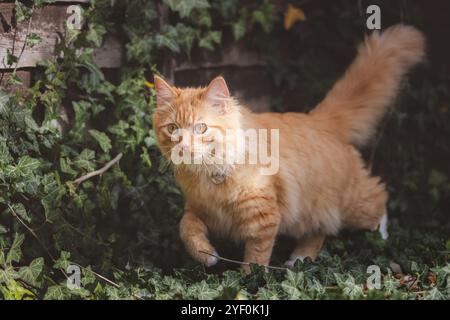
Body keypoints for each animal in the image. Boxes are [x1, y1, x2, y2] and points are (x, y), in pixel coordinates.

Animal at [153, 25, 424, 272]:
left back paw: (381, 240)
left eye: (201, 128)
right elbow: (186, 229)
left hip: (349, 203)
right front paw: (207, 255)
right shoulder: (197, 209)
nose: (183, 146)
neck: (208, 175)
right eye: (173, 128)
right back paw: (300, 259)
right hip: (313, 209)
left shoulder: (263, 219)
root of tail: (320, 120)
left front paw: (249, 282)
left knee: (379, 197)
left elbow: (255, 260)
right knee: (321, 230)